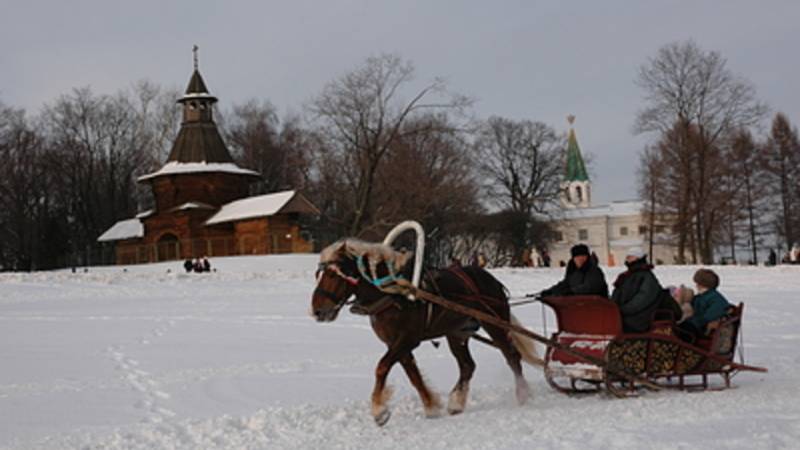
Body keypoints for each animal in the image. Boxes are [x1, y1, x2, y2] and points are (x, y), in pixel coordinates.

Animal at [310, 239, 540, 426]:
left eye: (336, 274)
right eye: (319, 274)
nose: (317, 310)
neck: (392, 293)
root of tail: (492, 281)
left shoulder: (407, 340)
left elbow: (382, 367)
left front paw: (379, 410)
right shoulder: (396, 344)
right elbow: (414, 376)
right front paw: (430, 406)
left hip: (495, 324)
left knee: (512, 356)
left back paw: (522, 394)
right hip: (457, 333)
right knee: (467, 365)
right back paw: (457, 403)